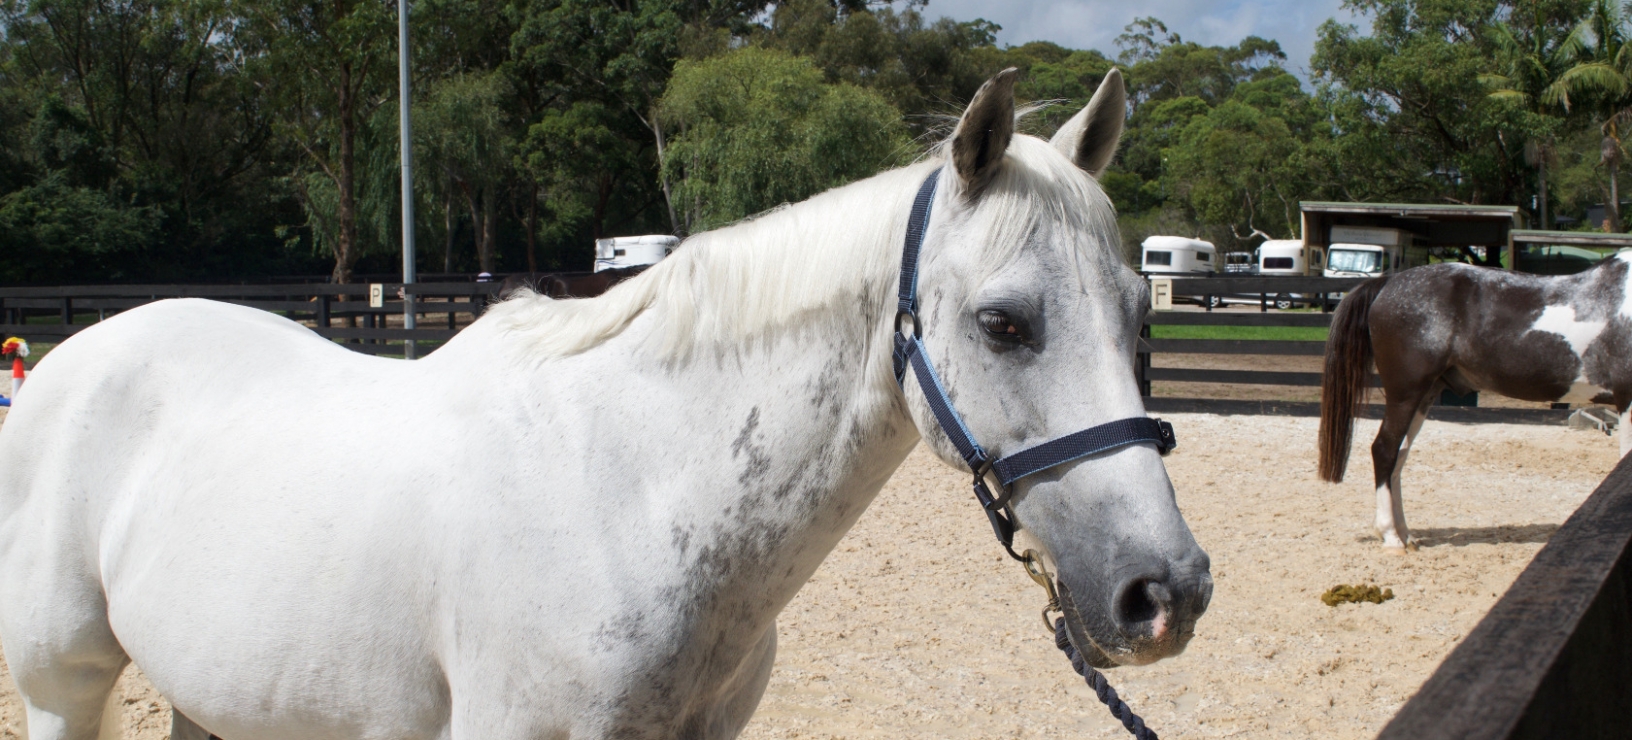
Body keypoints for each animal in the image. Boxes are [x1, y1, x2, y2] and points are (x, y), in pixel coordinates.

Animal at [0, 68, 1211, 740]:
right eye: (1003, 323)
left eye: (1138, 314)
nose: (1166, 592)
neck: (624, 494)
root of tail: (70, 357)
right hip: (63, 687)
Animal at [1318, 257, 1632, 548]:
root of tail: (1388, 283)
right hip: (1405, 393)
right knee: (1384, 450)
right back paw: (1391, 537)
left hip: (1424, 395)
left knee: (1400, 455)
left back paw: (1406, 534)